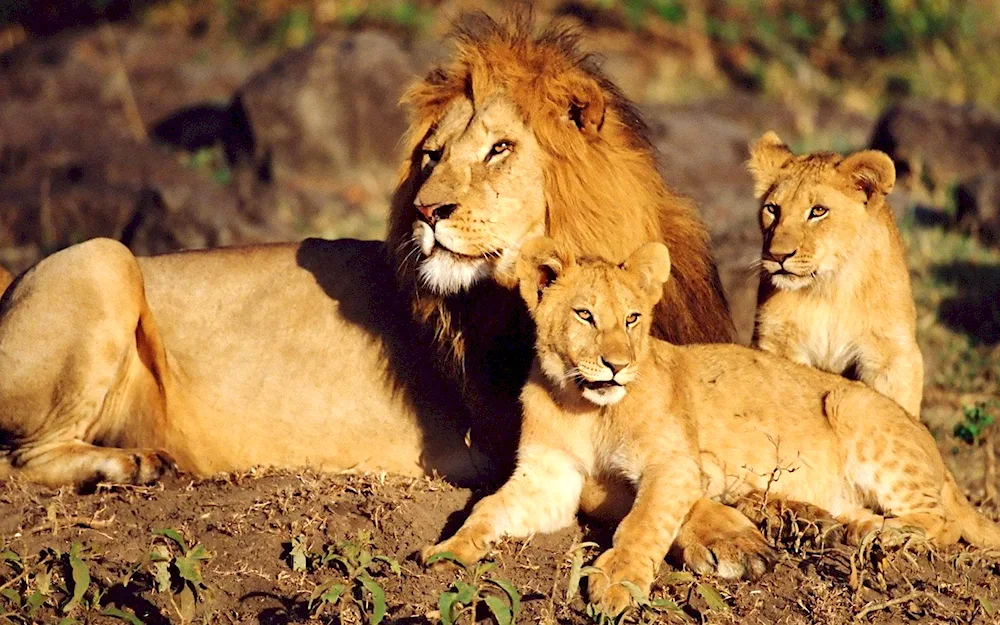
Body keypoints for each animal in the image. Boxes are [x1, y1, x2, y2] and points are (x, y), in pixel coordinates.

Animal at [422, 238, 1000, 616]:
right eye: (585, 315)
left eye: (633, 318)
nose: (616, 365)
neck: (584, 406)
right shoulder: (549, 479)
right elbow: (488, 507)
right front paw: (449, 552)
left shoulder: (676, 464)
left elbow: (645, 521)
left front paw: (618, 582)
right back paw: (836, 527)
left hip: (850, 403)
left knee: (939, 523)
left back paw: (878, 534)